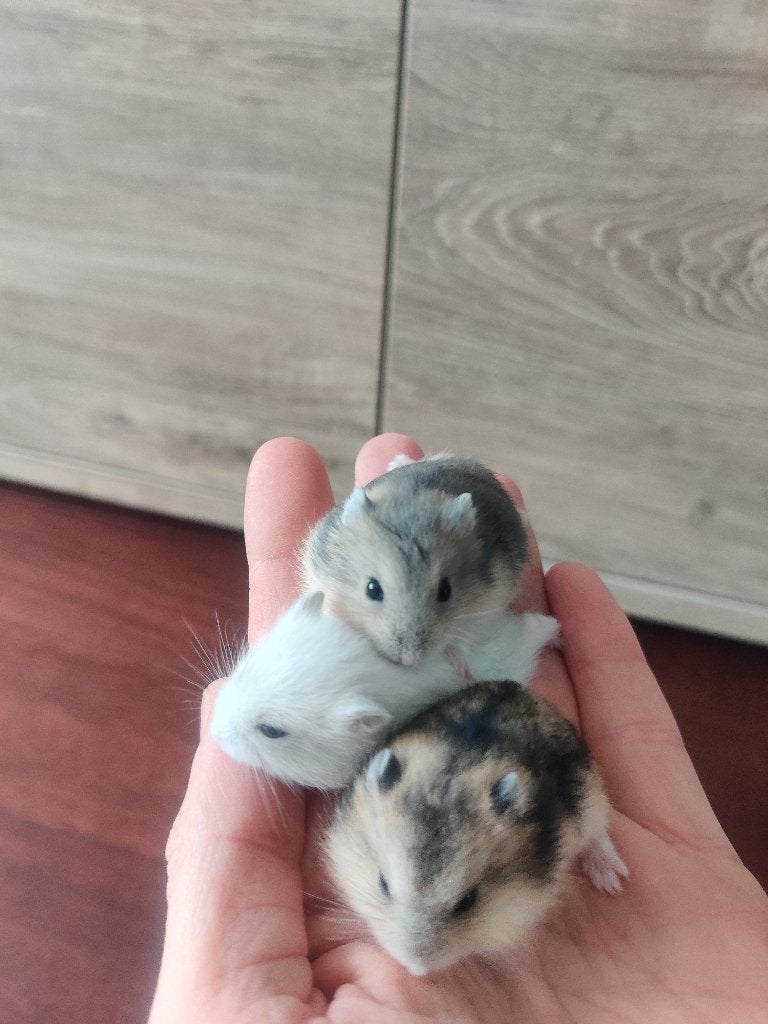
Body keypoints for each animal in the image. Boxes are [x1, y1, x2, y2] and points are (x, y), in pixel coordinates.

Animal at [326, 680, 628, 976]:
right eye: (383, 884)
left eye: (468, 901)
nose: (417, 970)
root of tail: (518, 690)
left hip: (592, 800)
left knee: (598, 836)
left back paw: (612, 881)